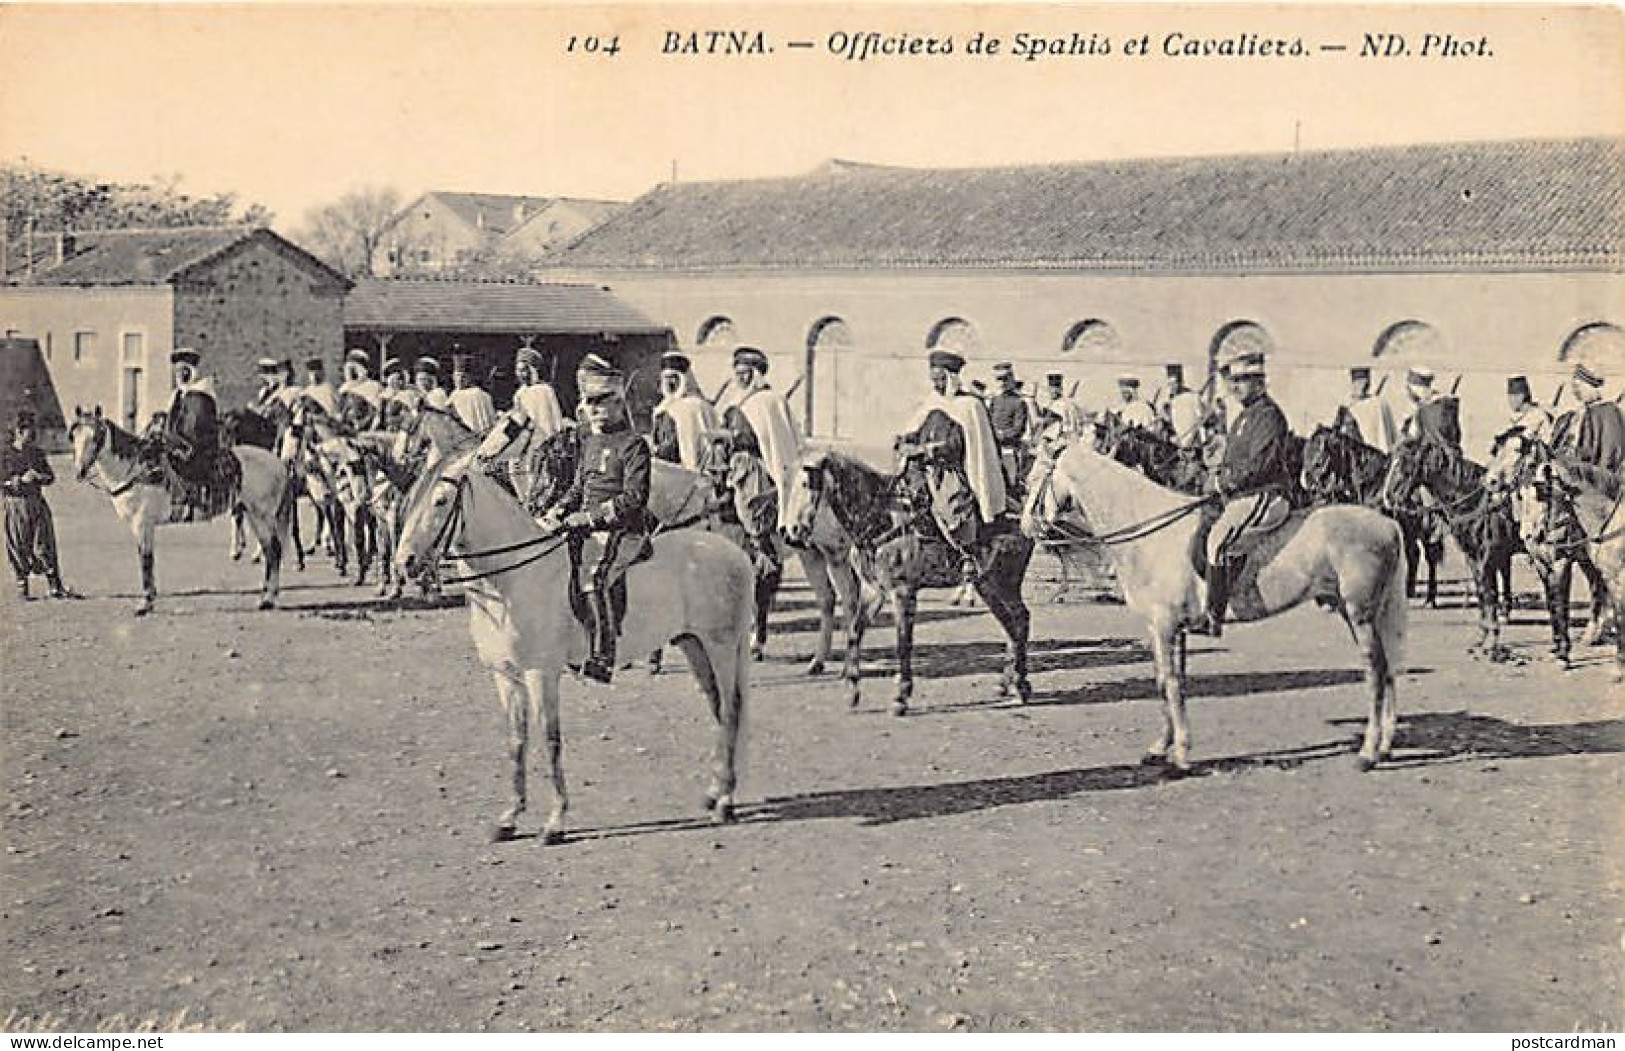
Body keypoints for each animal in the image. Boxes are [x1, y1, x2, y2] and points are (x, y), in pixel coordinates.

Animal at [69, 404, 292, 617]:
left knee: (274, 550)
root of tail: (279, 463)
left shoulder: (142, 524)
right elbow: (146, 559)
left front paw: (145, 604)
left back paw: (267, 600)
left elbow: (146, 561)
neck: (136, 470)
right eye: (73, 435)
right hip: (254, 515)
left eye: (97, 436)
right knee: (270, 551)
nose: (80, 471)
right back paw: (267, 597)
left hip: (261, 515)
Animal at [393, 438, 754, 844]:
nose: (404, 563)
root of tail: (737, 554)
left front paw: (555, 821)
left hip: (721, 647)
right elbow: (516, 741)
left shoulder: (541, 673)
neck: (514, 580)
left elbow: (550, 739)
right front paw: (509, 818)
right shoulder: (506, 676)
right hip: (694, 646)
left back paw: (725, 803)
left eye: (440, 501)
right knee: (717, 708)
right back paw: (714, 793)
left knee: (731, 710)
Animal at [1014, 435, 1410, 773]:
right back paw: (1385, 747)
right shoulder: (1166, 629)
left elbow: (1170, 684)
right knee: (1388, 669)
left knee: (1376, 672)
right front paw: (1161, 747)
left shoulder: (1165, 625)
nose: (1024, 528)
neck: (1152, 533)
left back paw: (1368, 753)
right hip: (1359, 613)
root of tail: (1387, 523)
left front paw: (1181, 756)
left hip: (1359, 614)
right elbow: (1167, 683)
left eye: (1033, 478)